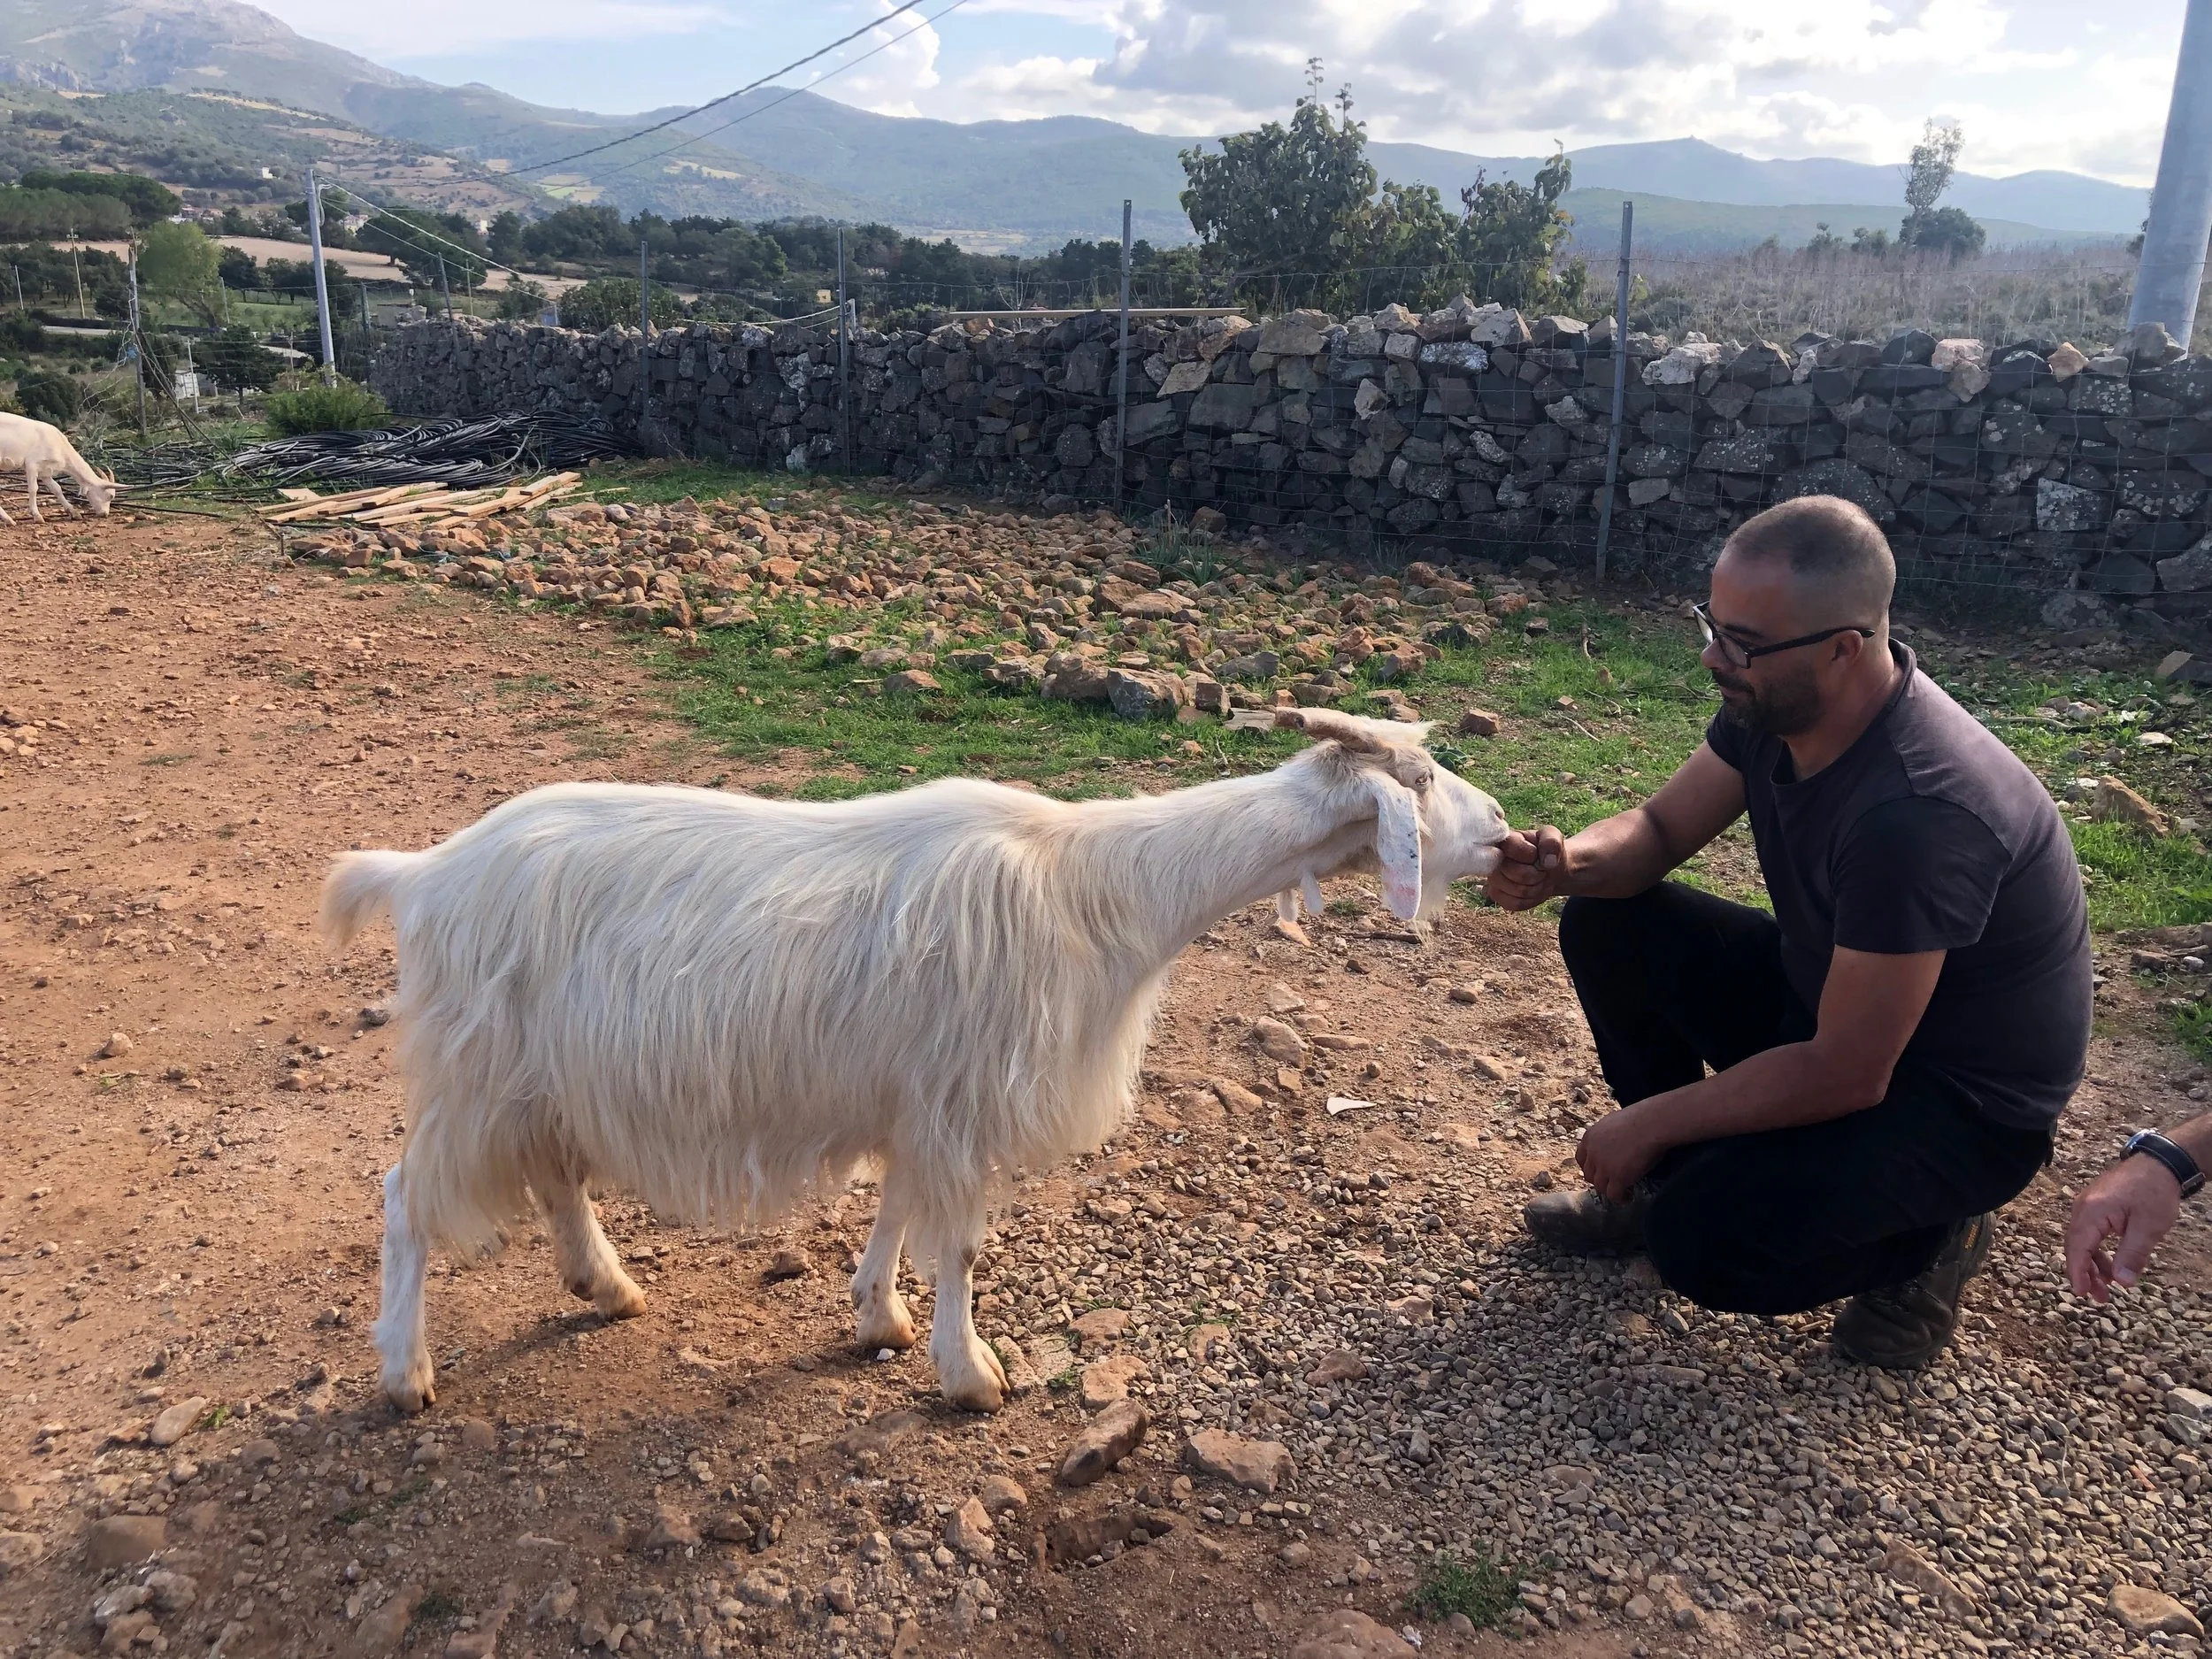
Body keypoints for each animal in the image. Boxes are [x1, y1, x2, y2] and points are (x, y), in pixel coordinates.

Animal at [0, 413, 124, 523]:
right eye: (110, 496)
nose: (105, 514)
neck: (59, 444)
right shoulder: (32, 463)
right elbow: (33, 489)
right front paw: (37, 516)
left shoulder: (45, 471)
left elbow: (57, 489)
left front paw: (74, 513)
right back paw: (9, 519)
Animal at [319, 708, 1509, 1413]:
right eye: (1423, 775)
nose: (1503, 827)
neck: (1097, 887)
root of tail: (422, 873)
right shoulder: (961, 1096)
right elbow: (963, 1244)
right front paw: (968, 1372)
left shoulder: (916, 1094)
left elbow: (897, 1209)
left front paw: (877, 1317)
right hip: (477, 1073)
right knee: (404, 1197)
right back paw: (404, 1369)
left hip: (543, 1076)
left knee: (557, 1172)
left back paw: (604, 1286)